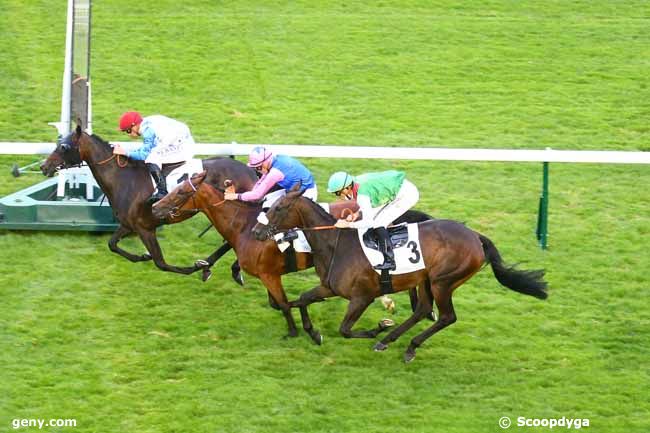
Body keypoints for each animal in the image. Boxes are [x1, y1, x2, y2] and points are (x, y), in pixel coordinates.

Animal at [38, 126, 258, 278]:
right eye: (59, 142)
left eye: (64, 146)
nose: (44, 166)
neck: (124, 179)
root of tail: (250, 170)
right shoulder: (129, 224)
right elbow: (112, 244)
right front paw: (142, 256)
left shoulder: (145, 228)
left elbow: (161, 263)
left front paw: (193, 268)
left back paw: (215, 266)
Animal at [147, 170, 430, 340]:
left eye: (182, 192)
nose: (155, 206)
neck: (244, 227)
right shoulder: (267, 274)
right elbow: (279, 302)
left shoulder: (269, 274)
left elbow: (283, 304)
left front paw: (297, 331)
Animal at [251, 187, 544, 360]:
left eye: (278, 208)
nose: (256, 231)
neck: (335, 243)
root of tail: (475, 236)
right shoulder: (330, 287)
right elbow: (302, 298)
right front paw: (312, 333)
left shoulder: (362, 297)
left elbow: (345, 329)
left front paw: (376, 328)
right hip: (426, 279)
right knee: (423, 309)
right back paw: (391, 341)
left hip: (442, 281)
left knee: (446, 316)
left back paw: (406, 344)